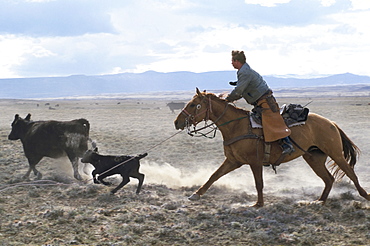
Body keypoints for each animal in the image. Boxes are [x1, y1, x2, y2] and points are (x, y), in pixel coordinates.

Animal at [174, 88, 370, 208]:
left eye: (193, 104)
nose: (177, 122)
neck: (237, 126)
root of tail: (331, 123)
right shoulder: (233, 161)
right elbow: (214, 176)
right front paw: (196, 195)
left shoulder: (254, 162)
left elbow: (259, 183)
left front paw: (258, 204)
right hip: (314, 158)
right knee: (329, 179)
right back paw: (319, 201)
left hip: (335, 153)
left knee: (350, 174)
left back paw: (365, 196)